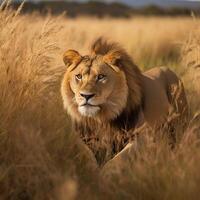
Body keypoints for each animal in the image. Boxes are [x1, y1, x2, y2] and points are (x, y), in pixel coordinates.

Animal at [60, 37, 188, 164]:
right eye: (79, 76)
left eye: (101, 76)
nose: (86, 95)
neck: (102, 118)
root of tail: (169, 69)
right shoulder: (83, 138)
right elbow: (87, 155)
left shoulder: (144, 134)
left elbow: (119, 159)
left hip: (179, 124)